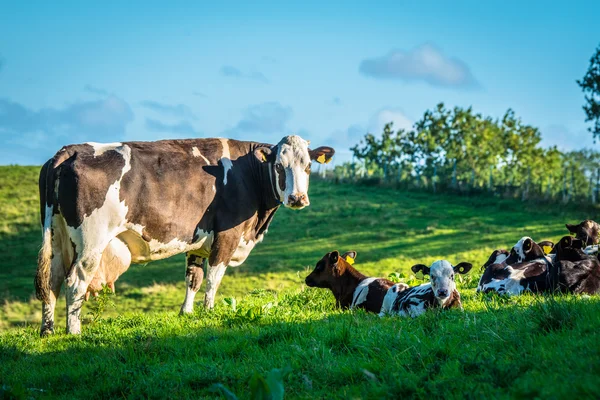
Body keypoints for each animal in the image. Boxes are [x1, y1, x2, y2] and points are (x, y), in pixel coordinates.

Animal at [35, 134, 336, 334]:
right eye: (278, 166)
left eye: (308, 166)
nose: (297, 198)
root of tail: (70, 150)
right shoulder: (227, 235)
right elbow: (213, 278)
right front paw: (210, 311)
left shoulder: (198, 242)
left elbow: (194, 278)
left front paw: (187, 313)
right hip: (91, 242)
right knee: (75, 281)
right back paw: (74, 331)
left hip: (57, 237)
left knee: (52, 281)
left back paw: (48, 330)